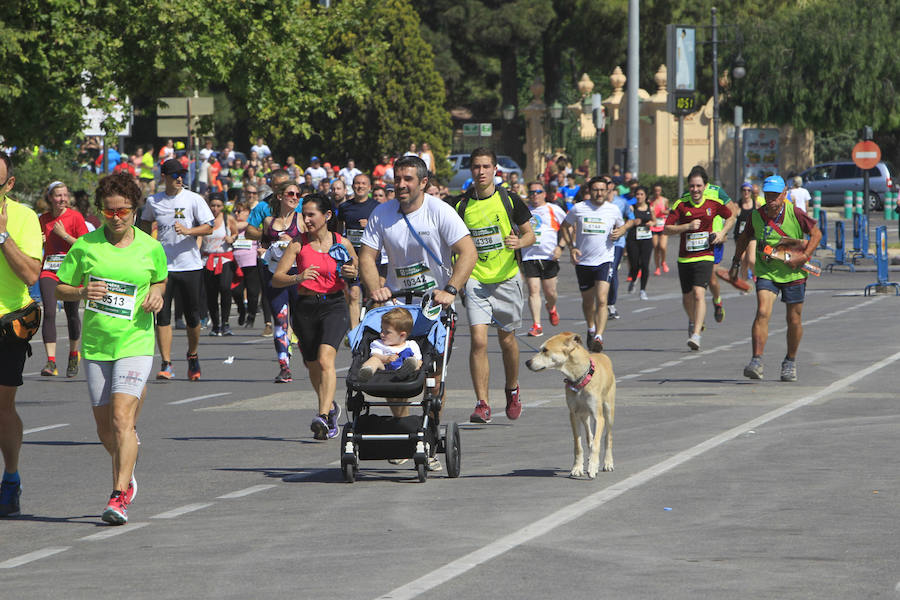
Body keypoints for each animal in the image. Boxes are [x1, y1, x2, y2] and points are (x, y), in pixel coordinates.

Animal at [524, 332, 616, 478]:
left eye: (545, 350)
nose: (527, 362)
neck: (579, 379)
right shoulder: (573, 415)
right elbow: (578, 445)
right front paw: (577, 468)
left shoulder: (598, 416)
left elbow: (597, 443)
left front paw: (593, 467)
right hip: (584, 415)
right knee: (589, 434)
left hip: (608, 410)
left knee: (608, 437)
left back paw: (608, 463)